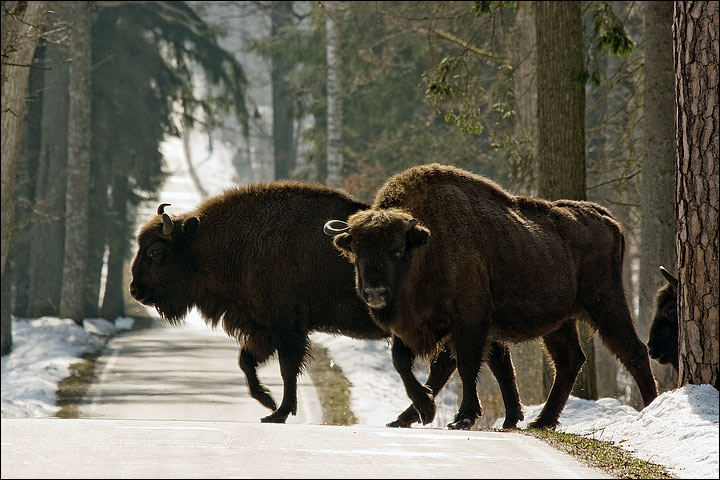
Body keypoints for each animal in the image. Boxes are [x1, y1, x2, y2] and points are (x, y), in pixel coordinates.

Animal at [131, 181, 524, 428]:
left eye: (156, 251)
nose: (136, 290)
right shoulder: (262, 327)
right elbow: (246, 362)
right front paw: (268, 403)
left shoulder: (285, 327)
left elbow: (287, 368)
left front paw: (279, 411)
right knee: (483, 359)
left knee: (467, 361)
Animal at [324, 165, 660, 432]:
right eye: (357, 249)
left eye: (396, 249)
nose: (375, 293)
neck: (426, 246)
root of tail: (607, 219)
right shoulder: (413, 325)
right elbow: (402, 363)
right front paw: (425, 410)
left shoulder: (468, 320)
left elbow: (467, 365)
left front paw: (462, 418)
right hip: (559, 322)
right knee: (569, 360)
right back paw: (542, 421)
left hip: (606, 304)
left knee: (633, 351)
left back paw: (649, 407)